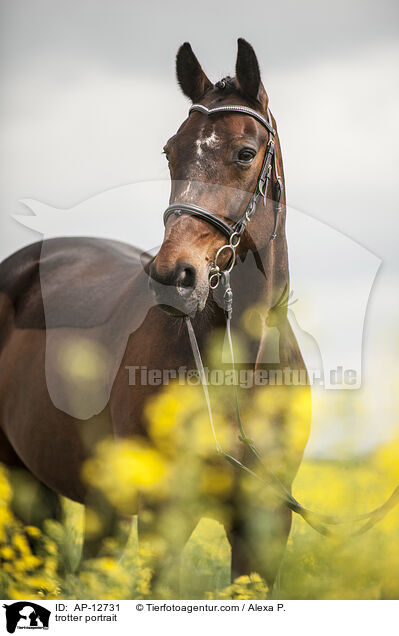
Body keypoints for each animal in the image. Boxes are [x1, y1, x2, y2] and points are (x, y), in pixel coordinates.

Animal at [0, 39, 310, 592]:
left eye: (245, 153)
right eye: (171, 151)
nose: (173, 274)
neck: (242, 367)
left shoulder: (267, 523)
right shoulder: (164, 516)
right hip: (23, 480)